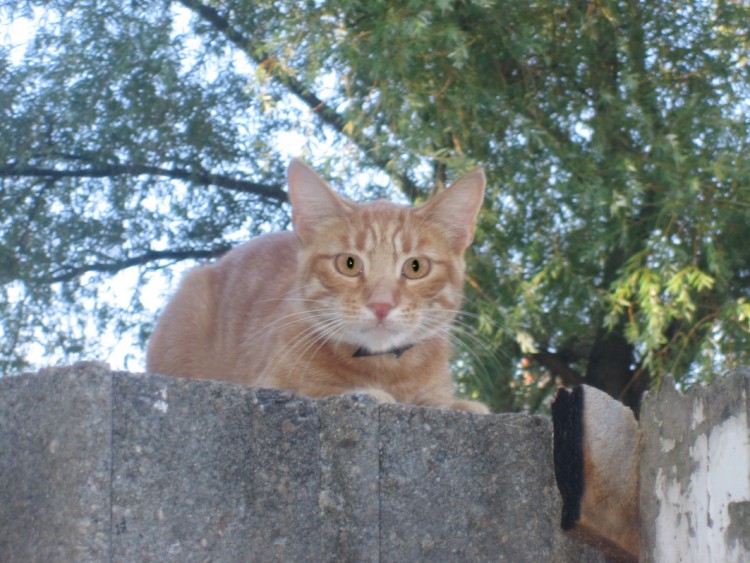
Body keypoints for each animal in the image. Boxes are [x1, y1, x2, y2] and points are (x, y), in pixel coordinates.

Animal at [147, 159, 490, 414]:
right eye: (348, 264)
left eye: (415, 267)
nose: (381, 304)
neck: (384, 369)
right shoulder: (270, 382)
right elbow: (321, 388)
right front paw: (369, 392)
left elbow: (439, 399)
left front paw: (456, 403)